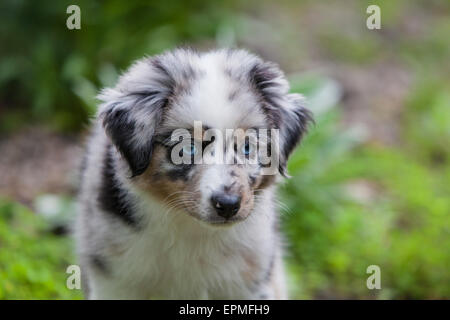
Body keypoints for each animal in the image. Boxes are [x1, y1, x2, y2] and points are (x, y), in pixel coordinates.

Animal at [74, 48, 312, 300]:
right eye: (187, 148)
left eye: (247, 147)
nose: (228, 205)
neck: (193, 229)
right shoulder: (114, 279)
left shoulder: (251, 281)